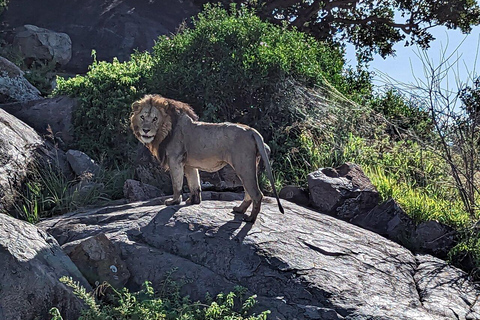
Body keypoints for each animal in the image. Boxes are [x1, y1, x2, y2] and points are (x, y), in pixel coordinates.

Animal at [129, 94, 284, 221]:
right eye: (142, 117)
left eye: (155, 119)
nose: (146, 130)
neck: (164, 131)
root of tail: (252, 131)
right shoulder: (188, 164)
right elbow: (194, 183)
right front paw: (193, 201)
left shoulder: (175, 159)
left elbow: (177, 184)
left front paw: (173, 201)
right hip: (249, 166)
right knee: (248, 192)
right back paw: (239, 210)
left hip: (243, 165)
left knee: (256, 194)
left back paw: (250, 219)